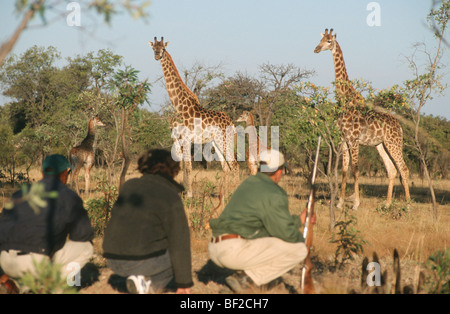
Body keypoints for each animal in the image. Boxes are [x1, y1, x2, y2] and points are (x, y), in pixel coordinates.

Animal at [149, 36, 239, 196]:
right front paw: (182, 192)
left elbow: (189, 167)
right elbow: (181, 167)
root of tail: (232, 124)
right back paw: (224, 194)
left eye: (163, 48)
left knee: (234, 165)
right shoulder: (175, 139)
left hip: (225, 141)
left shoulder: (186, 139)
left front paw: (189, 195)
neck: (178, 106)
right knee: (226, 167)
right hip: (216, 143)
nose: (157, 56)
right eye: (153, 48)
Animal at [314, 28, 410, 210]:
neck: (345, 99)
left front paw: (355, 204)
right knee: (392, 169)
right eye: (320, 39)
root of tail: (400, 127)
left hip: (394, 144)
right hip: (381, 145)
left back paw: (408, 206)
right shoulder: (343, 140)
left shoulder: (354, 140)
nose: (316, 49)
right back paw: (387, 204)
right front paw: (340, 203)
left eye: (329, 41)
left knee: (404, 168)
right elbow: (344, 170)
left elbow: (355, 170)